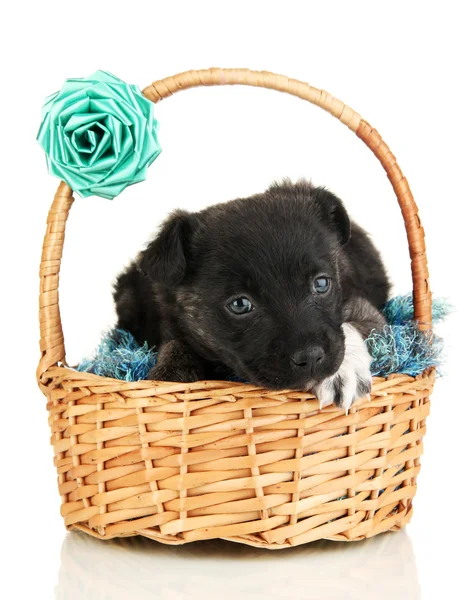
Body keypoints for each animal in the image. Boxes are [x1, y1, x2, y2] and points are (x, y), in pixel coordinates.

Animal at [113, 180, 388, 410]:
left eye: (321, 284)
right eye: (240, 304)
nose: (310, 357)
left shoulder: (367, 310)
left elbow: (351, 324)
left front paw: (343, 372)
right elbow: (175, 347)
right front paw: (171, 376)